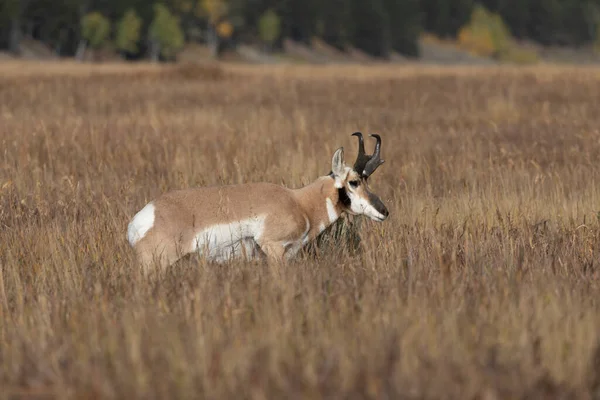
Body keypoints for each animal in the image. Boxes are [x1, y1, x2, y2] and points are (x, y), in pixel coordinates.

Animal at [127, 133, 390, 270]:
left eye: (368, 180)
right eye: (354, 182)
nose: (384, 211)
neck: (300, 203)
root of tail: (144, 217)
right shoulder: (273, 249)